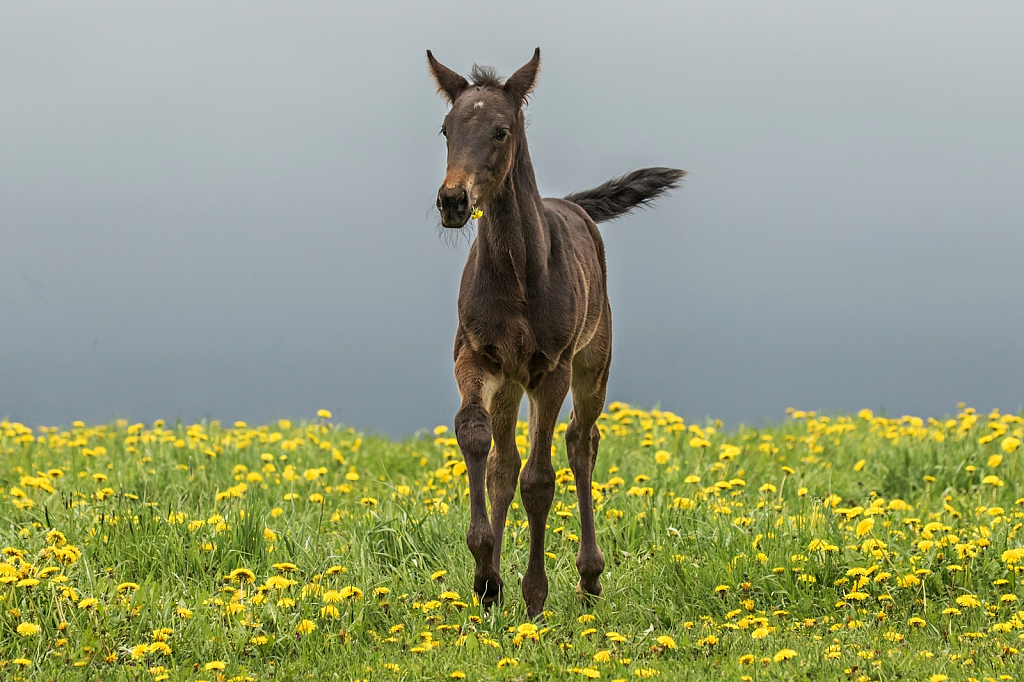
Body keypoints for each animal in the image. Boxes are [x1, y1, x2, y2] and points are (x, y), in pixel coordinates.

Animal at [428, 46, 684, 610]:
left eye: (500, 130)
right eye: (445, 129)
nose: (453, 201)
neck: (518, 275)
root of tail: (575, 206)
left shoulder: (551, 369)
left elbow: (540, 481)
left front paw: (535, 593)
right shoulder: (476, 356)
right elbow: (476, 438)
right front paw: (486, 575)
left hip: (593, 363)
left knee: (581, 443)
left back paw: (589, 577)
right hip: (509, 384)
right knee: (505, 464)